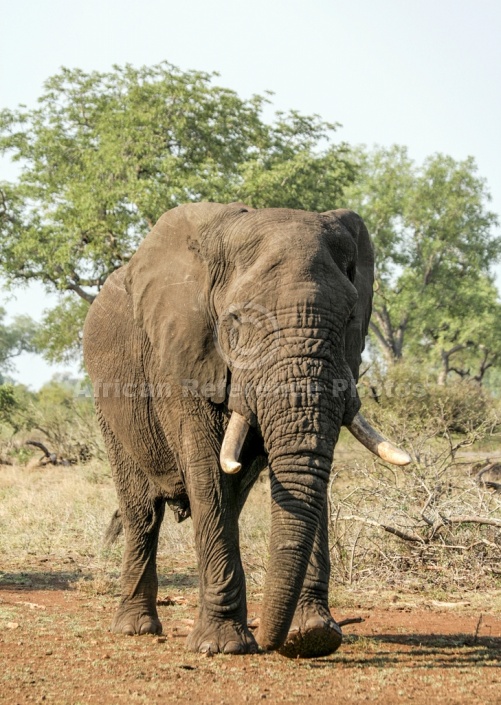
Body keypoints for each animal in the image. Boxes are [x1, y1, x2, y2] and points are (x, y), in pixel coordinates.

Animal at [83, 201, 410, 656]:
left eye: (349, 317)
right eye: (236, 320)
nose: (271, 641)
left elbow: (306, 473)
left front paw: (314, 636)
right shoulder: (183, 357)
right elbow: (208, 473)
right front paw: (222, 646)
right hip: (110, 405)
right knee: (143, 513)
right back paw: (136, 628)